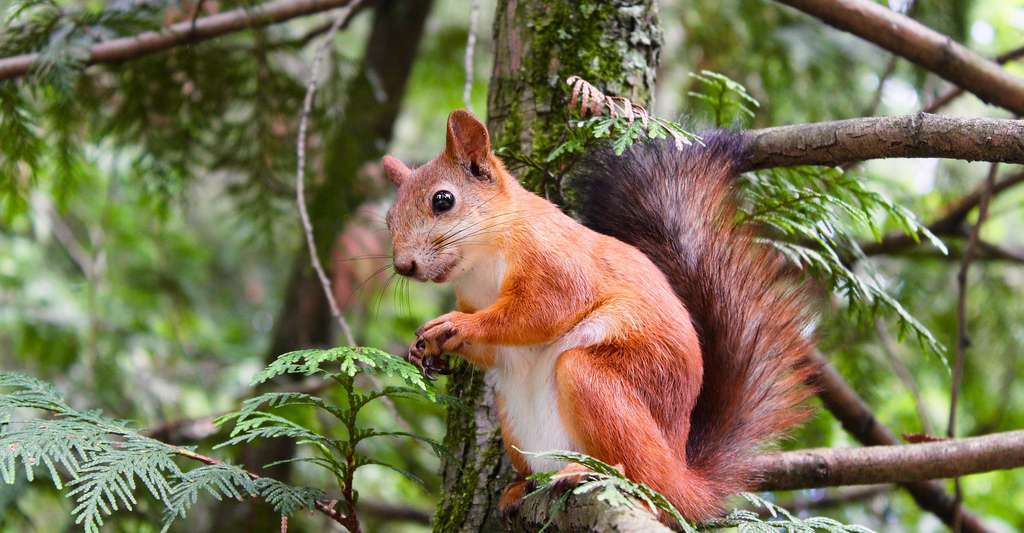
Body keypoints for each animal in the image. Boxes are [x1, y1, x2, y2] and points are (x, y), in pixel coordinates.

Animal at [380, 108, 811, 519]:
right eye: (388, 218)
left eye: (443, 200)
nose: (403, 266)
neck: (482, 262)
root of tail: (683, 478)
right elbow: (495, 349)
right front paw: (427, 349)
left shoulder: (556, 263)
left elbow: (540, 312)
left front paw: (457, 325)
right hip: (514, 419)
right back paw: (523, 487)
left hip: (599, 382)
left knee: (645, 481)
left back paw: (595, 473)